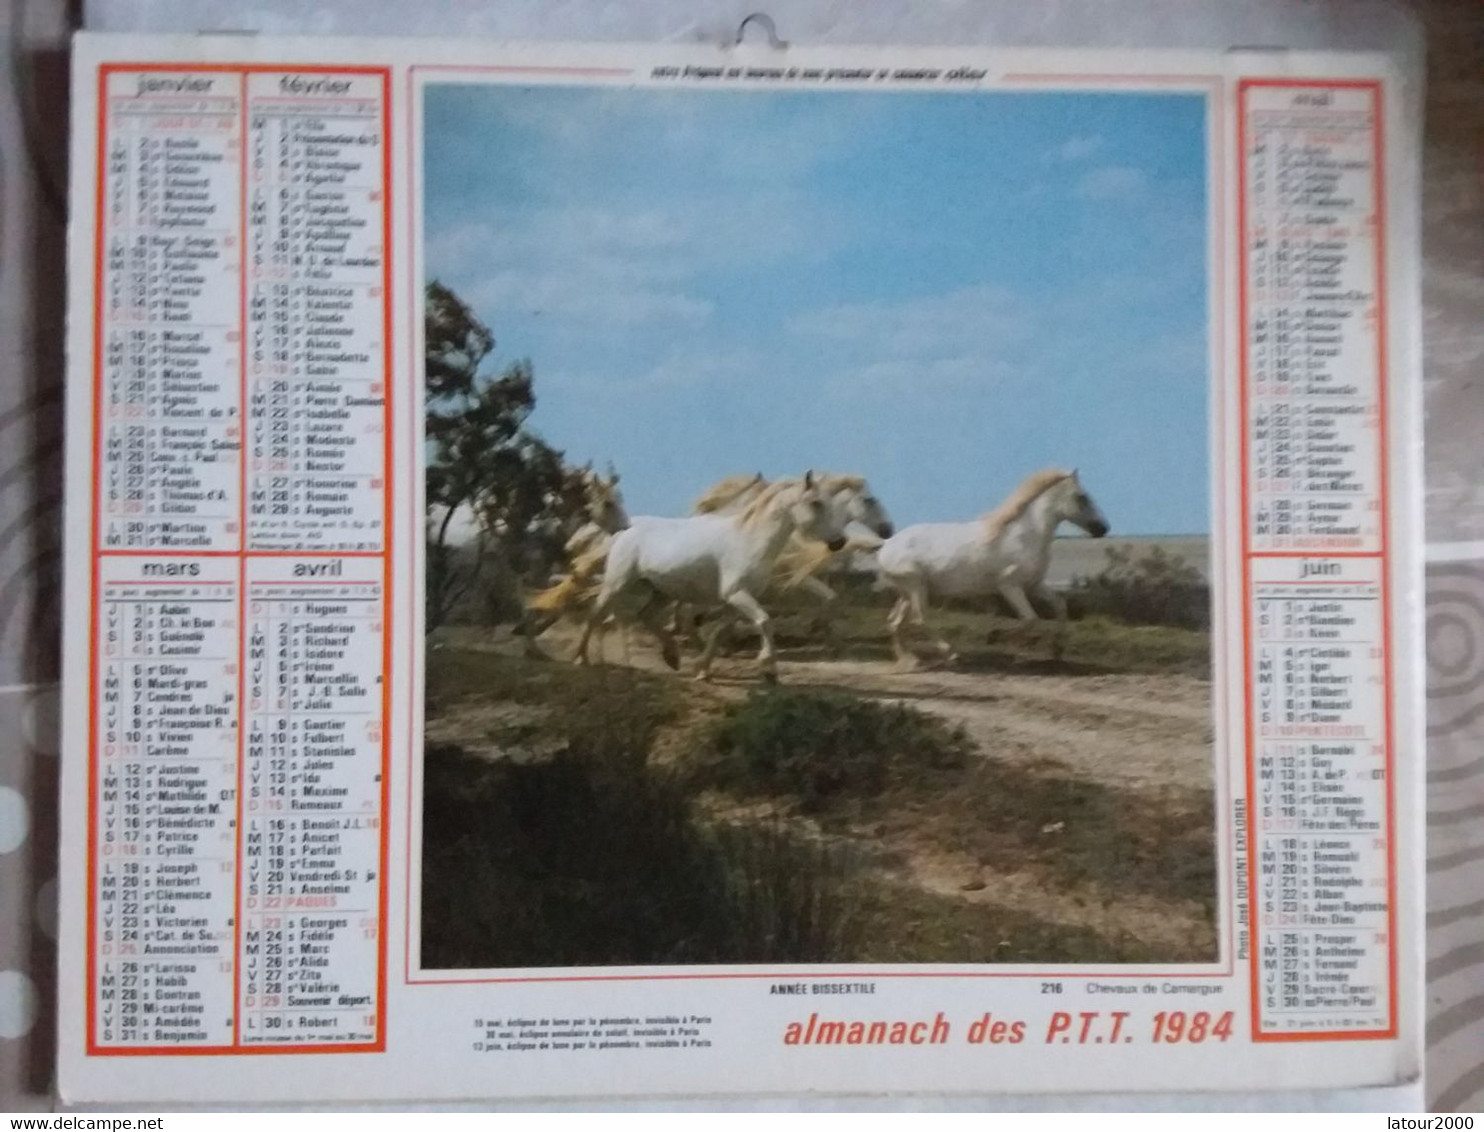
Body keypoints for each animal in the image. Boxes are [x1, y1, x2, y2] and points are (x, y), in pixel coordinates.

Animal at [581, 471, 860, 682]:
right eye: (816, 503)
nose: (839, 542)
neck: (749, 540)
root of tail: (622, 530)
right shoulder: (736, 593)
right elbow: (765, 621)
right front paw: (768, 668)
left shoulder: (734, 601)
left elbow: (719, 632)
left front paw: (703, 670)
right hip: (618, 583)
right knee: (596, 613)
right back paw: (581, 658)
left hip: (660, 591)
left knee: (646, 616)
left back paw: (672, 657)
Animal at [872, 471, 1110, 673]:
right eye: (1082, 497)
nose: (1103, 528)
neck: (1025, 536)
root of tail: (886, 544)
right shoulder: (1009, 586)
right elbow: (1030, 619)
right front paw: (995, 638)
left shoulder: (1034, 585)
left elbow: (1060, 606)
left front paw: (1058, 650)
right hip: (916, 587)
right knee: (919, 619)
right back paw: (951, 654)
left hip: (907, 592)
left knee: (895, 621)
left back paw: (911, 660)